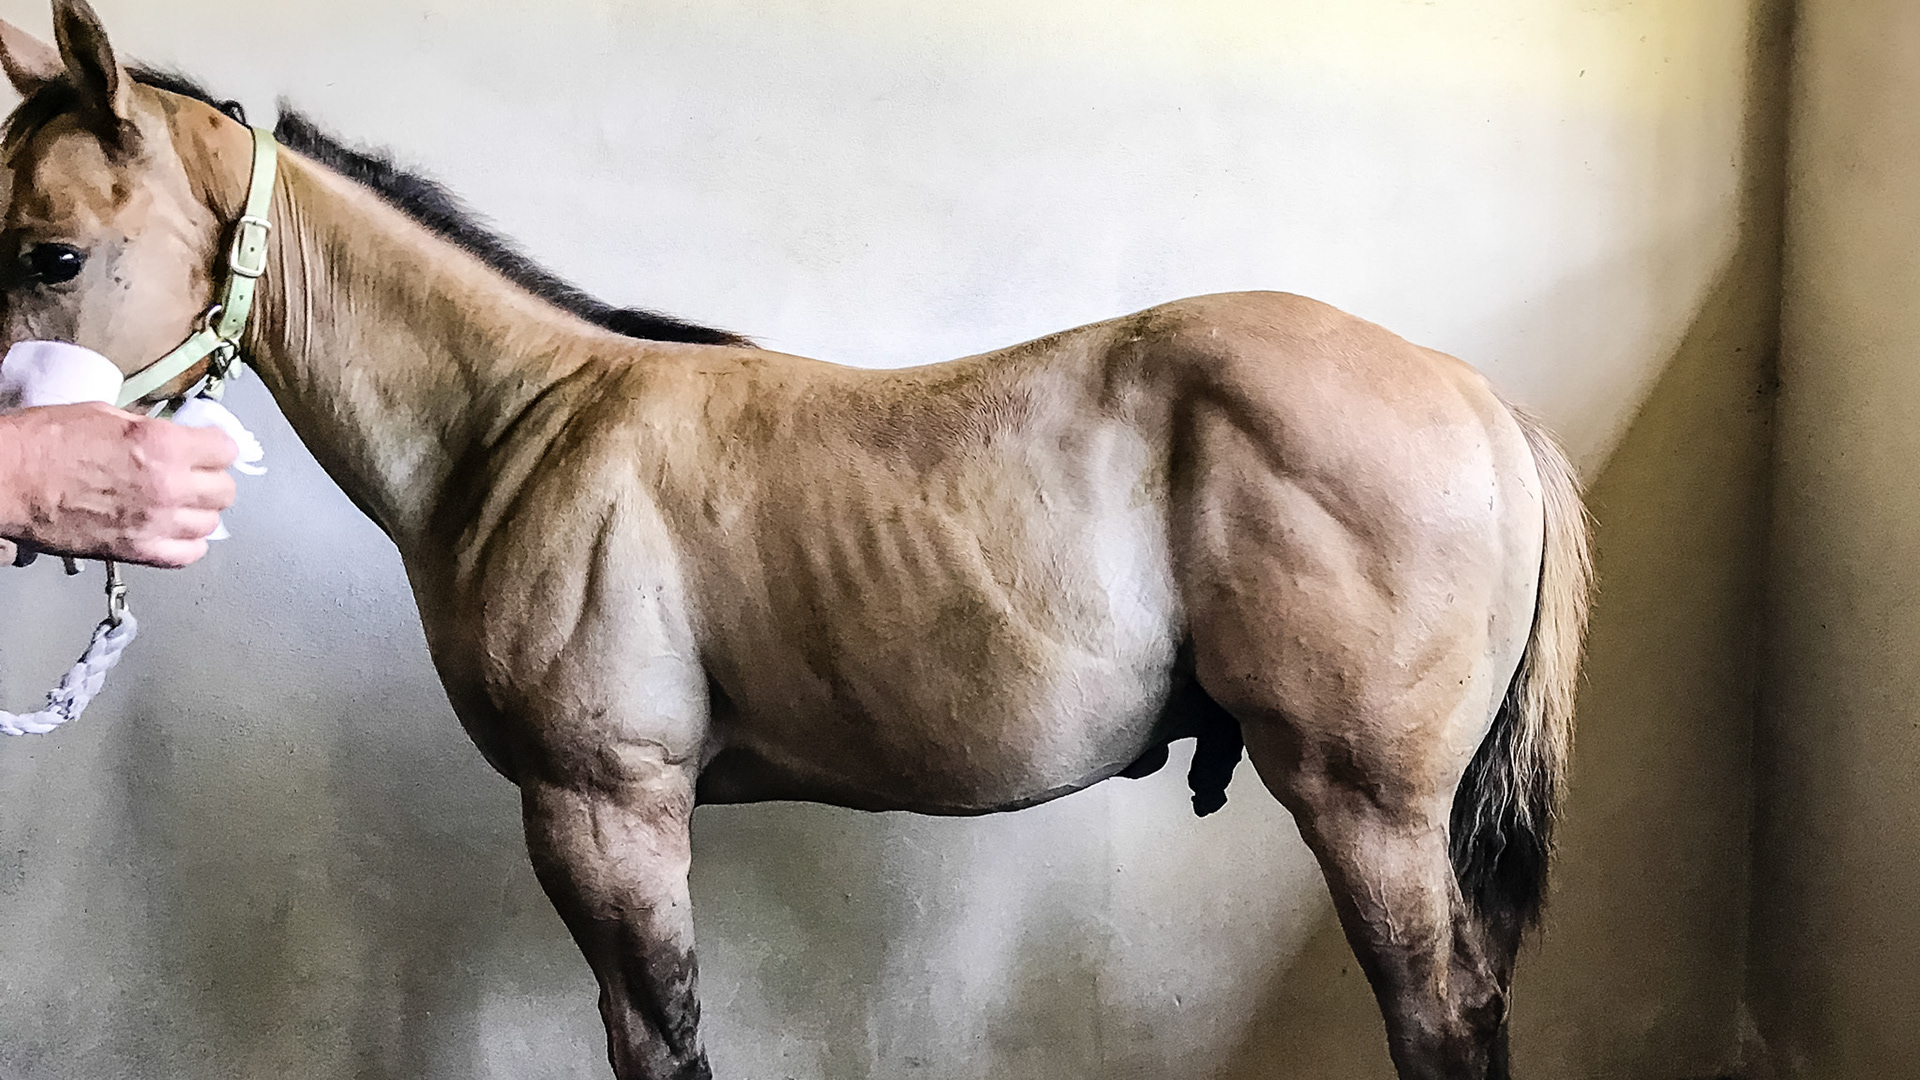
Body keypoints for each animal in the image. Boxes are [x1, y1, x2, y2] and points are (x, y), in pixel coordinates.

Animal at [0, 3, 1590, 1078]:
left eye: (50, 252)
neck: (515, 426)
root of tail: (1480, 404)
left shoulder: (607, 811)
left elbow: (664, 1039)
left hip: (1367, 809)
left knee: (1442, 1021)